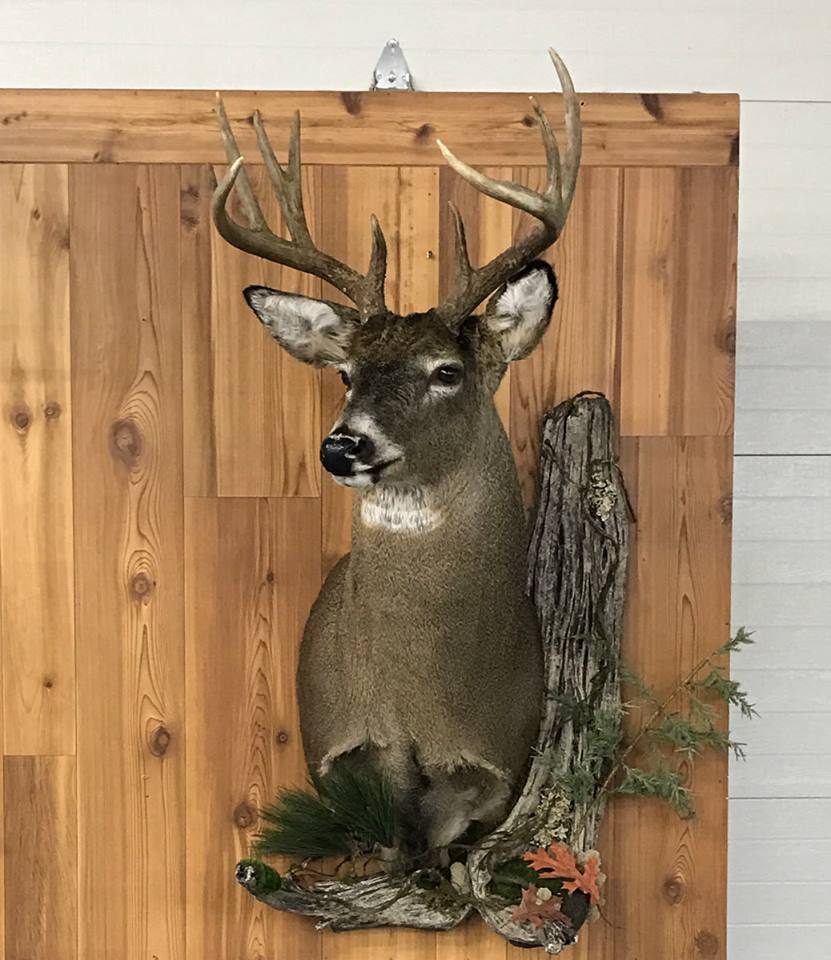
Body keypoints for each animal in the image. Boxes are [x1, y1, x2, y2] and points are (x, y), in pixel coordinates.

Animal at [212, 49, 581, 855]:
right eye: (346, 374)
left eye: (446, 372)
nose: (342, 444)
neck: (419, 700)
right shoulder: (343, 749)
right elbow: (386, 836)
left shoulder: (493, 769)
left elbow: (443, 842)